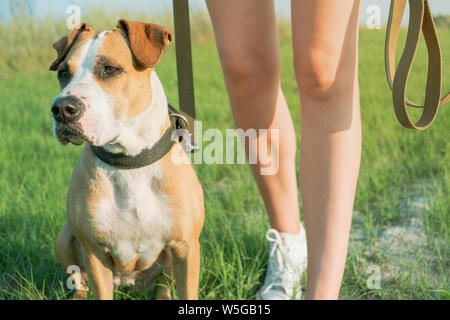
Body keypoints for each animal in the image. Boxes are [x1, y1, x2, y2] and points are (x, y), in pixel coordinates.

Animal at [49, 20, 204, 300]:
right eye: (63, 73)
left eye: (110, 69)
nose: (63, 109)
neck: (129, 161)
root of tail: (127, 281)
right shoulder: (94, 253)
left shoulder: (186, 247)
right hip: (65, 236)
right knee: (78, 280)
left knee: (164, 284)